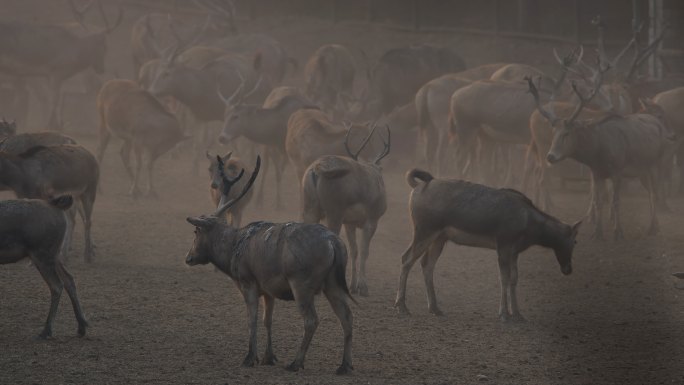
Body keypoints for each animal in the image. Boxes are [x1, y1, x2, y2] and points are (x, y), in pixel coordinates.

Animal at [0, 196, 89, 338]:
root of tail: (56, 205)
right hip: (54, 255)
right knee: (69, 279)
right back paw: (81, 326)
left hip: (41, 255)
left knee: (57, 285)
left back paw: (46, 330)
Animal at [187, 154, 358, 374]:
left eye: (196, 231)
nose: (189, 257)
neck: (232, 251)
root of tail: (333, 243)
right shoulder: (268, 290)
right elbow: (267, 320)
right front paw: (269, 357)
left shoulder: (248, 282)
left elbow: (251, 320)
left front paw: (250, 357)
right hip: (333, 284)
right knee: (347, 317)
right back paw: (345, 365)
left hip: (301, 283)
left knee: (311, 320)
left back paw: (296, 362)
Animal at [300, 124, 390, 296]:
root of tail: (317, 168)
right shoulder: (372, 220)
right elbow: (364, 250)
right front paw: (363, 287)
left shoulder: (350, 223)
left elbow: (354, 250)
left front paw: (354, 286)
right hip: (334, 214)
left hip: (309, 209)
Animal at [392, 168, 580, 318]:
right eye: (574, 241)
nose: (568, 269)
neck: (530, 225)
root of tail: (417, 188)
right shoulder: (503, 245)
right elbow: (504, 278)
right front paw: (504, 313)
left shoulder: (514, 252)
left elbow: (514, 278)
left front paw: (517, 313)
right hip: (424, 231)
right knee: (406, 259)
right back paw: (401, 307)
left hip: (440, 238)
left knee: (427, 264)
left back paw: (434, 308)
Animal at [528, 58, 672, 238]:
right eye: (554, 132)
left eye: (567, 133)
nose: (552, 156)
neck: (598, 151)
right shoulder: (597, 172)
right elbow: (598, 200)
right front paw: (597, 231)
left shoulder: (617, 170)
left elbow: (614, 200)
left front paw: (617, 231)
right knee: (540, 176)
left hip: (653, 164)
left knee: (653, 193)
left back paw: (652, 227)